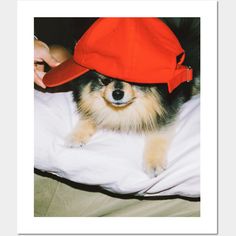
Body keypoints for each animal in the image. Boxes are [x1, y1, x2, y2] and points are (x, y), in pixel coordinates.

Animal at [67, 18, 201, 177]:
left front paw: (154, 163)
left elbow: (158, 135)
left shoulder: (166, 110)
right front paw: (77, 135)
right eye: (105, 81)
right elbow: (91, 114)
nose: (117, 93)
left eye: (133, 81)